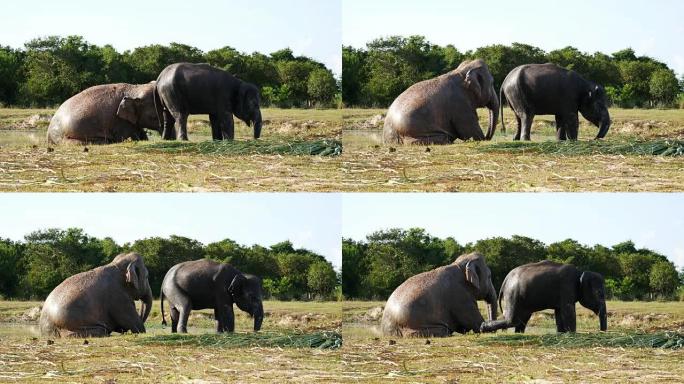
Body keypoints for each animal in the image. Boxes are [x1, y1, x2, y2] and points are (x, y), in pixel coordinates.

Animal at [480, 260, 608, 332]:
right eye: (600, 294)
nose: (601, 332)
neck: (580, 273)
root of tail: (506, 279)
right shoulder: (567, 287)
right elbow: (568, 311)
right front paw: (572, 334)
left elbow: (559, 313)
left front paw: (561, 333)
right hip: (513, 294)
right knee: (512, 320)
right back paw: (482, 327)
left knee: (522, 319)